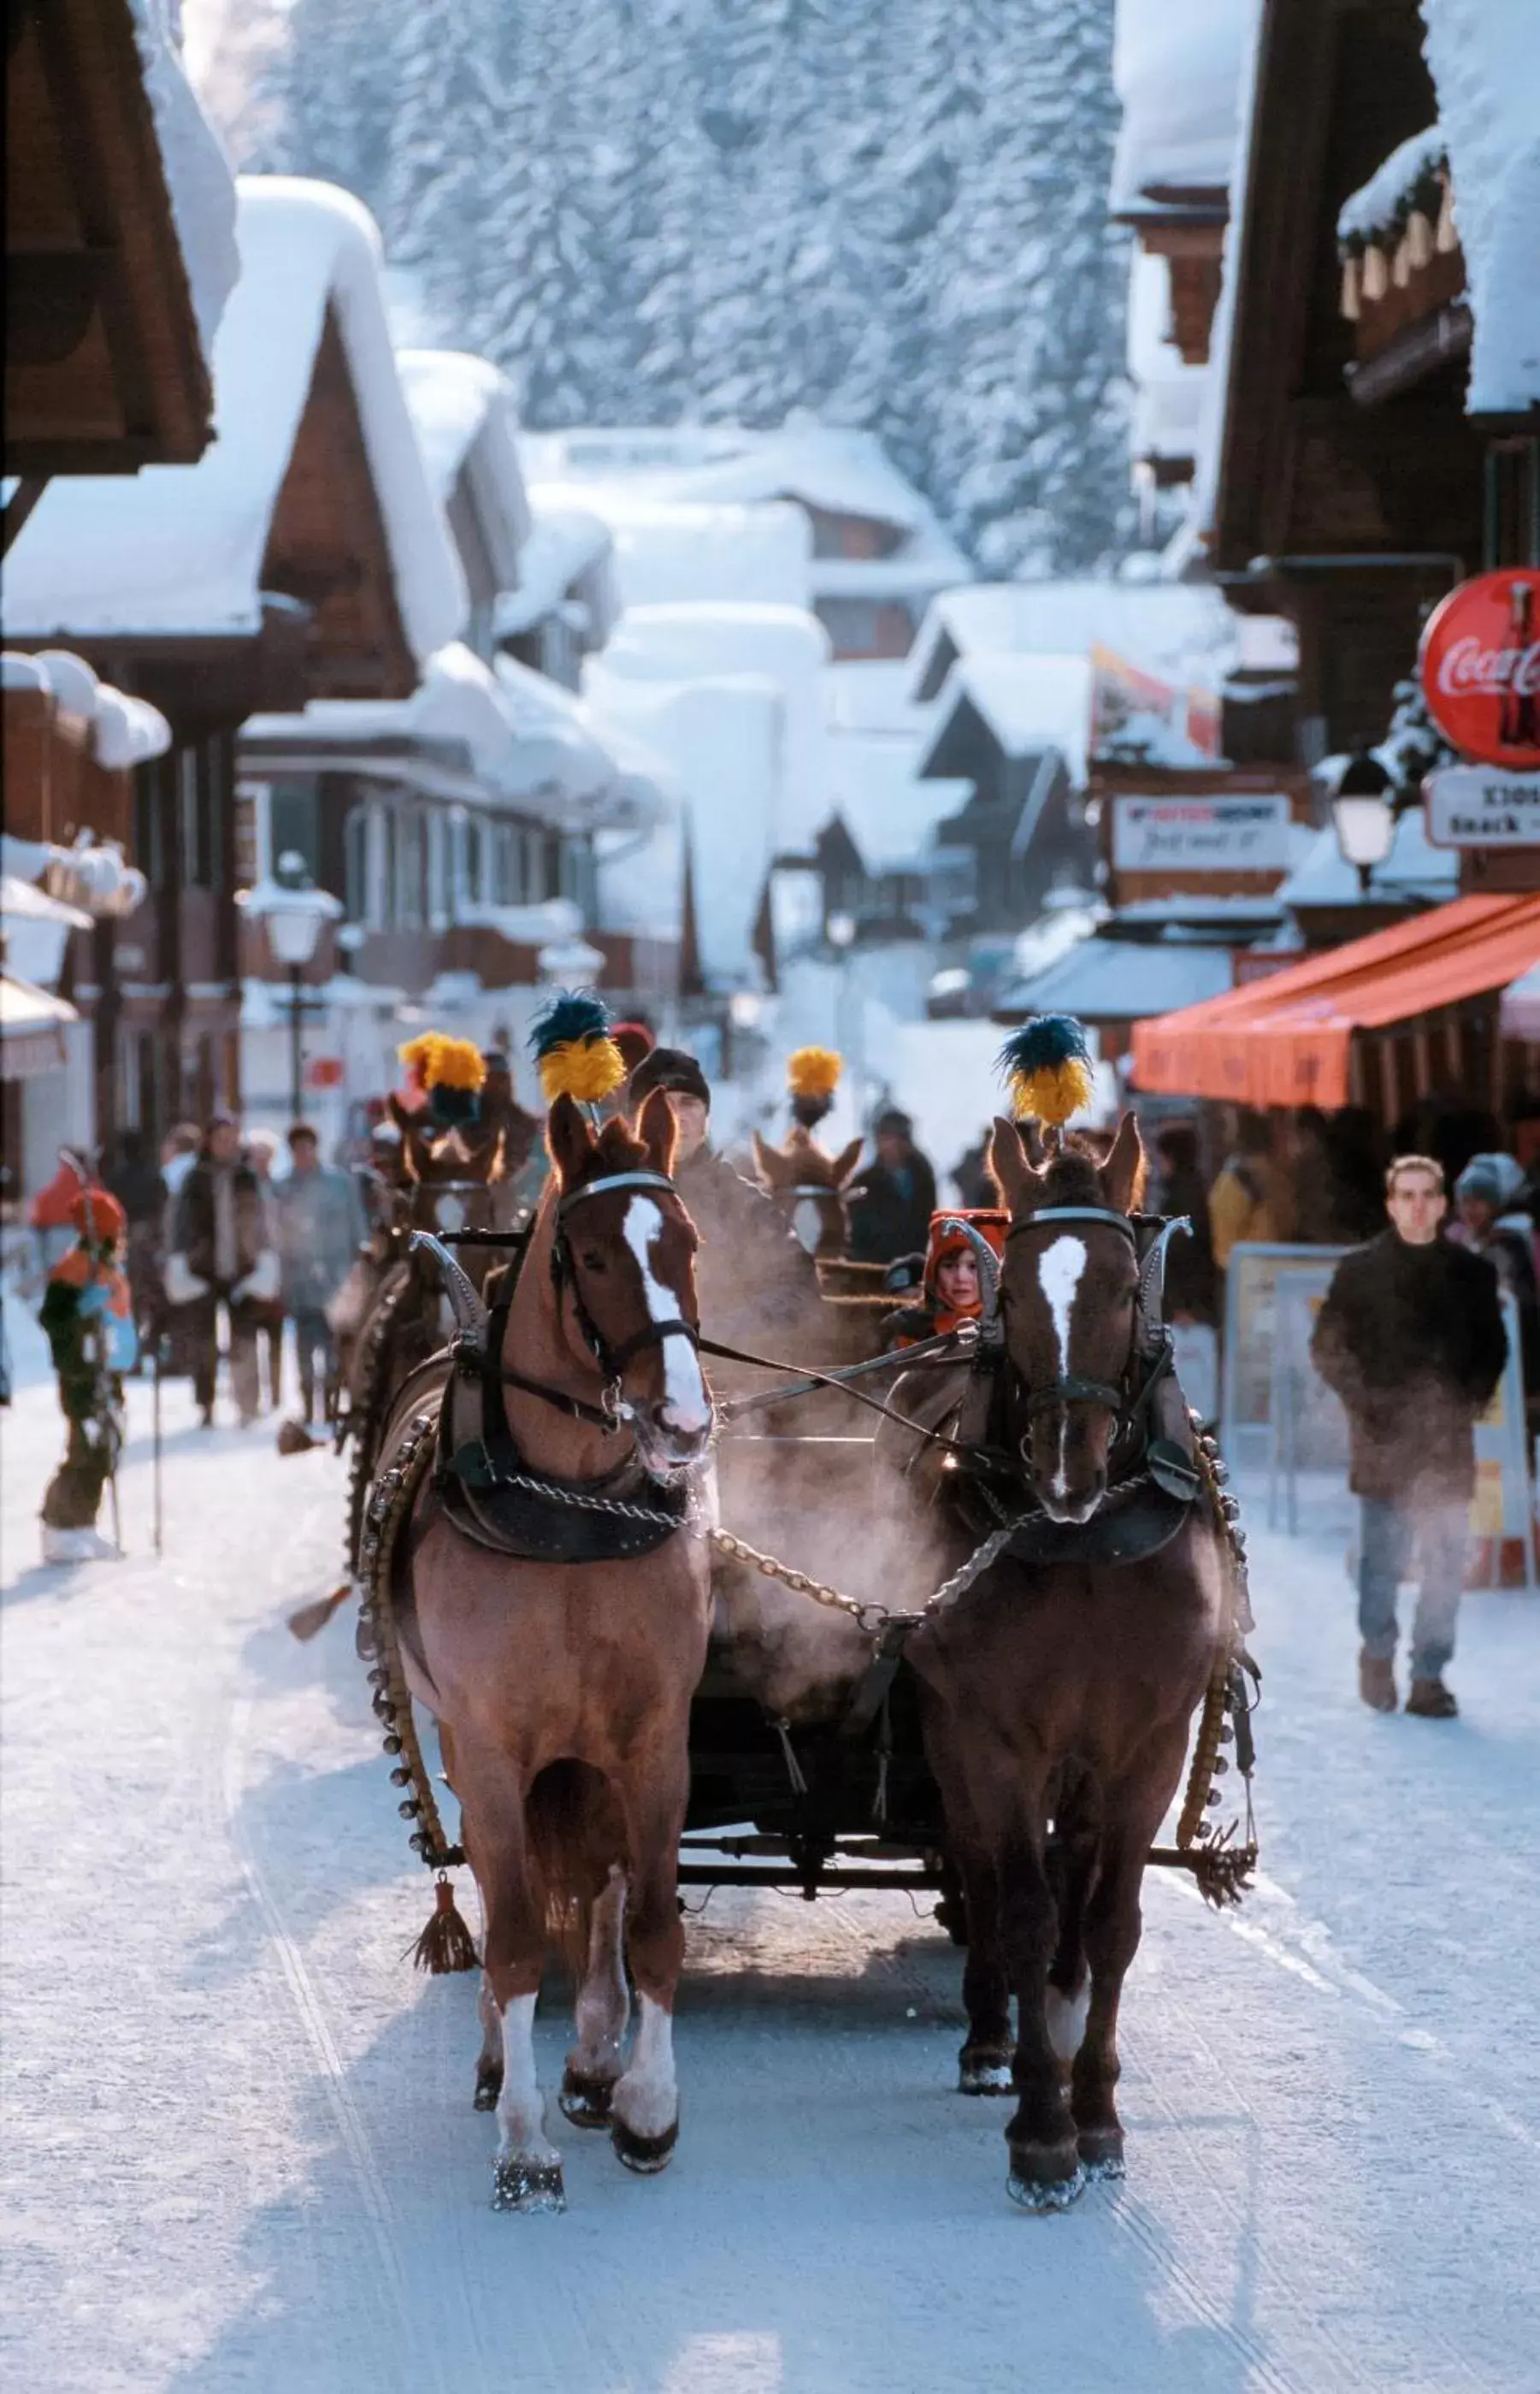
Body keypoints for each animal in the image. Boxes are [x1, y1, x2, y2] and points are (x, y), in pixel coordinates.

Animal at [395, 1096, 713, 2212]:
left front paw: (650, 2109)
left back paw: (592, 2060)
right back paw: (509, 2068)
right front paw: (526, 2145)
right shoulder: (490, 1746)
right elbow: (519, 1937)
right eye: (593, 1255)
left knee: (602, 1884)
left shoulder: (657, 1740)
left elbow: (651, 1918)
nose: (683, 1420)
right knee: (506, 1898)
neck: (569, 1513)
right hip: (467, 1745)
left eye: (688, 1245)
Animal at [910, 1115, 1221, 2202]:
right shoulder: (994, 1738)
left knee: (1075, 1875)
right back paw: (990, 2035)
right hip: (953, 1738)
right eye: (1008, 1293)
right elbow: (1024, 1911)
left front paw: (1097, 2114)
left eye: (1127, 1291)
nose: (1064, 1471)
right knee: (984, 1869)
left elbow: (1112, 1922)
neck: (1085, 1548)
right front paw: (1042, 2132)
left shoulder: (1150, 1743)